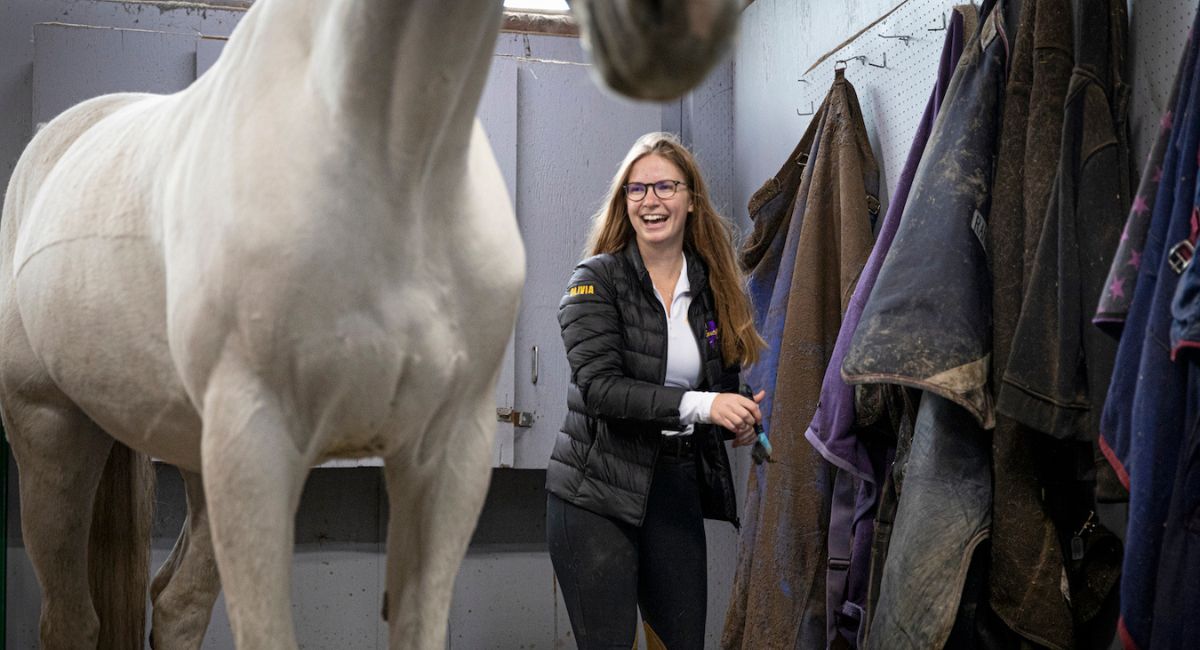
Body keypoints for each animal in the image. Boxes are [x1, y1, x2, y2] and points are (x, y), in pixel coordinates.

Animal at [0, 1, 734, 650]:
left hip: (198, 457)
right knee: (71, 621)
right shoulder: (257, 446)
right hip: (55, 432)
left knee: (175, 605)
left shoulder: (445, 455)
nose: (676, 24)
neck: (396, 157)